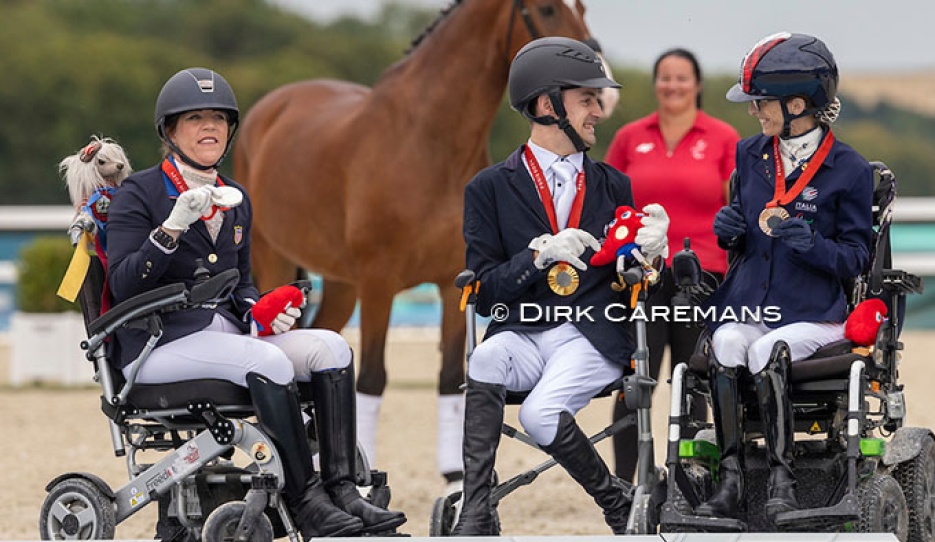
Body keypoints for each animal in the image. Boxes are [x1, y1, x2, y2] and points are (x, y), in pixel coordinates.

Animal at [233, 0, 592, 476]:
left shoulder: (454, 282)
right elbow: (371, 378)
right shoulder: (379, 283)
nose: (597, 88)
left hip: (342, 287)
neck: (427, 142)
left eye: (584, 9)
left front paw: (457, 481)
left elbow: (451, 380)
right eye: (547, 9)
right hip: (273, 260)